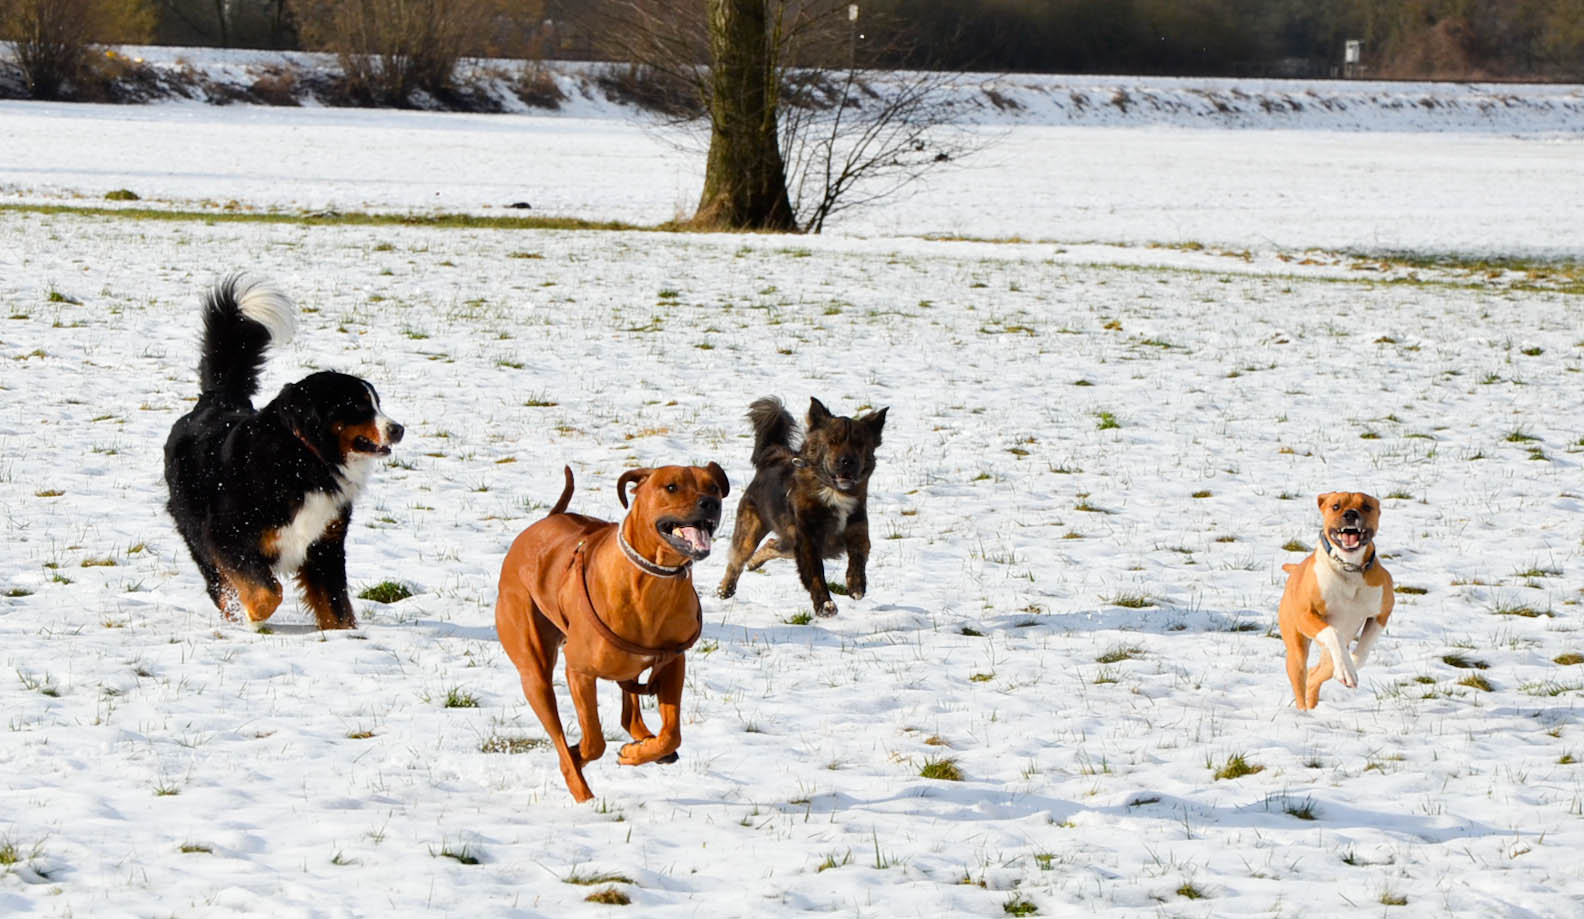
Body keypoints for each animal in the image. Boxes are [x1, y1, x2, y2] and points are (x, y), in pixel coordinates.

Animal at [162, 275, 402, 627]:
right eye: (359, 406)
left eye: (377, 403)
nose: (398, 429)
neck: (307, 458)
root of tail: (217, 398)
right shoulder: (227, 534)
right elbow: (268, 591)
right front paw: (253, 616)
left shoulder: (325, 546)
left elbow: (337, 607)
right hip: (195, 530)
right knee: (218, 584)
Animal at [494, 462, 728, 801]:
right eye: (671, 487)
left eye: (713, 487)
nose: (710, 504)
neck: (652, 581)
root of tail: (544, 521)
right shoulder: (579, 671)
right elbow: (593, 742)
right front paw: (580, 754)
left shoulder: (673, 662)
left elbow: (672, 735)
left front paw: (638, 753)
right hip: (533, 670)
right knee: (559, 735)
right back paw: (583, 795)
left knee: (629, 715)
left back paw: (642, 741)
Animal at [722, 396, 893, 617]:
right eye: (833, 441)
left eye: (859, 443)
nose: (847, 461)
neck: (833, 491)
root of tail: (772, 456)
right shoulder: (807, 539)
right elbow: (815, 573)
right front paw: (825, 605)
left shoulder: (858, 528)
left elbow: (858, 555)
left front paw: (856, 585)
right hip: (752, 529)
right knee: (737, 559)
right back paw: (725, 588)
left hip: (789, 541)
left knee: (771, 545)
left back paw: (754, 562)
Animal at [1279, 491, 1393, 706]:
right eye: (1335, 506)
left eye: (1367, 506)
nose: (1350, 513)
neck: (1348, 567)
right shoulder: (1306, 615)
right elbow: (1332, 632)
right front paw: (1348, 671)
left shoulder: (1381, 614)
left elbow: (1362, 653)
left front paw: (1350, 668)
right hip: (1297, 650)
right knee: (1301, 680)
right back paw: (1303, 711)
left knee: (1315, 674)